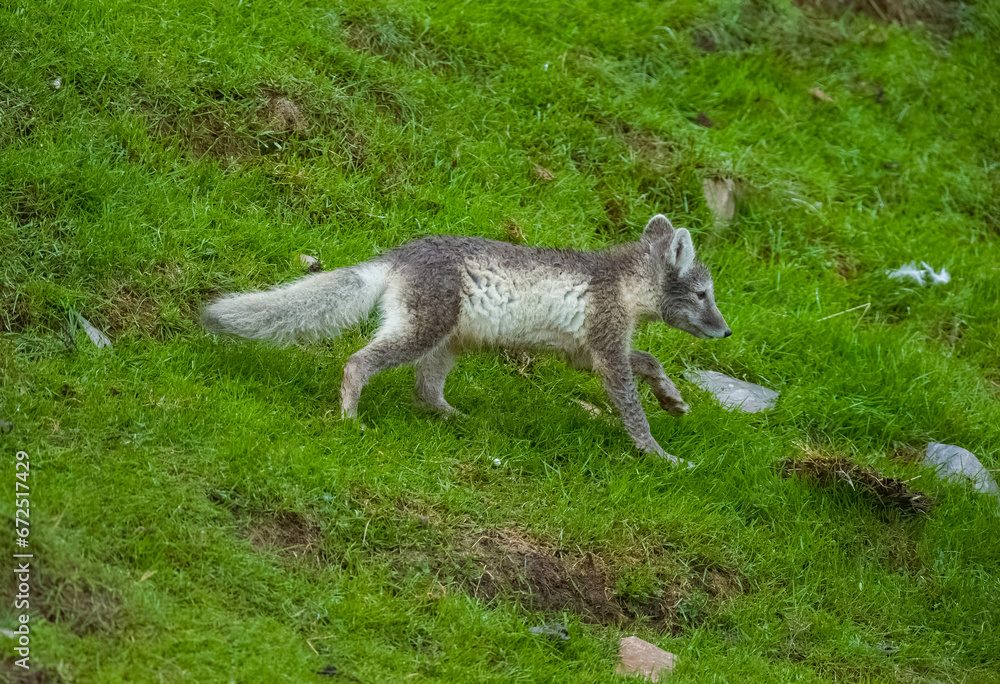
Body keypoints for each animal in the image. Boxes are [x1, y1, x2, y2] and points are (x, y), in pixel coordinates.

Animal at [201, 214, 731, 462]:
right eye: (703, 294)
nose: (727, 330)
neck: (621, 283)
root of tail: (398, 255)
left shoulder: (588, 354)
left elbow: (651, 361)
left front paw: (673, 400)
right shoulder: (606, 352)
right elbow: (632, 409)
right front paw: (660, 455)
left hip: (446, 343)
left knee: (424, 392)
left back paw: (463, 420)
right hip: (421, 331)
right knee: (358, 362)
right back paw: (349, 417)